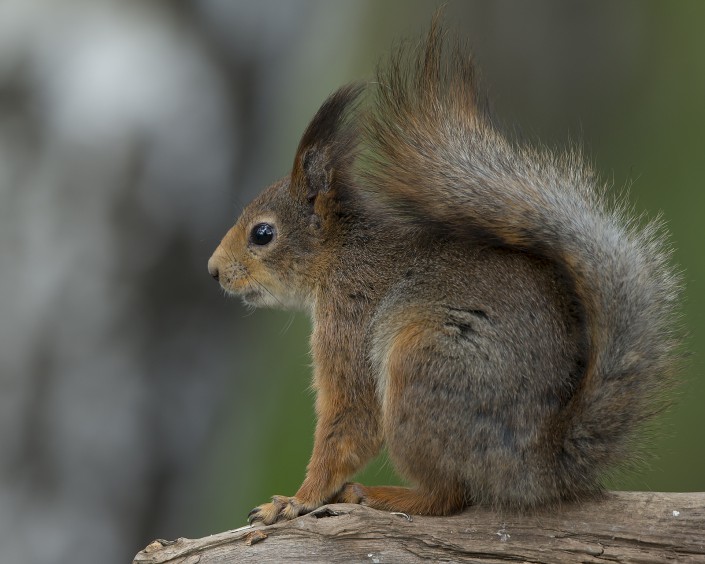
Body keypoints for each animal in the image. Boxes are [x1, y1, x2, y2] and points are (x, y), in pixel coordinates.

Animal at [206, 20, 680, 524]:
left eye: (262, 234)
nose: (213, 270)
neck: (340, 255)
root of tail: (538, 466)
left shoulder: (348, 321)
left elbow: (351, 418)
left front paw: (297, 500)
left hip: (422, 368)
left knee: (448, 496)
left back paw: (382, 495)